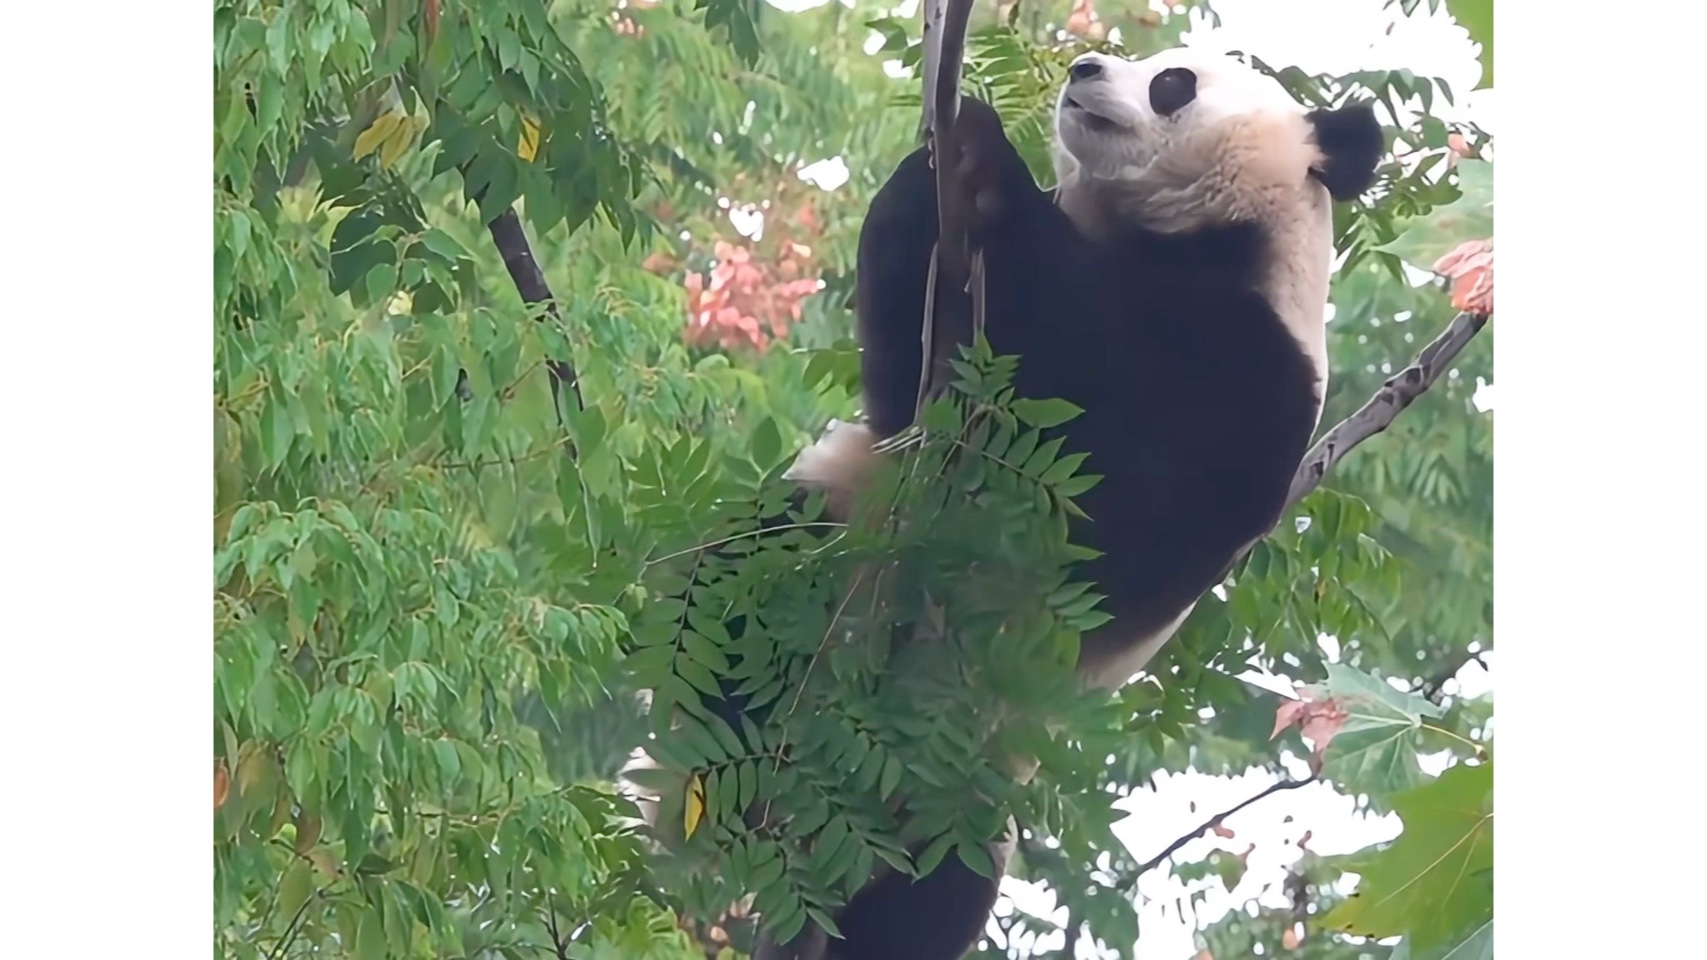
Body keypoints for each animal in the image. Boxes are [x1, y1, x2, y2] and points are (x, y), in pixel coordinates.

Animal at [628, 42, 1386, 956]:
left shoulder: (1255, 373)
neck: (1189, 236)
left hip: (963, 773)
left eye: (1174, 82)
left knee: (933, 891)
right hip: (831, 546)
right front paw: (944, 161)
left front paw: (990, 169)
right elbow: (906, 381)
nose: (1085, 67)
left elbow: (1132, 500)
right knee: (748, 583)